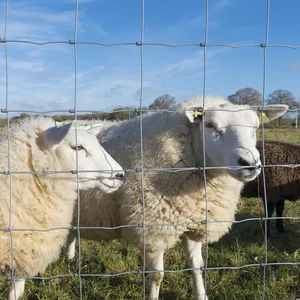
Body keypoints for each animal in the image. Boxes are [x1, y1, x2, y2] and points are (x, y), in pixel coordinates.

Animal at [66, 96, 288, 300]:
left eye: (255, 127)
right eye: (210, 125)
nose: (249, 163)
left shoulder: (194, 222)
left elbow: (197, 268)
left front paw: (201, 295)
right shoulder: (153, 229)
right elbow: (157, 276)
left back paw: (69, 257)